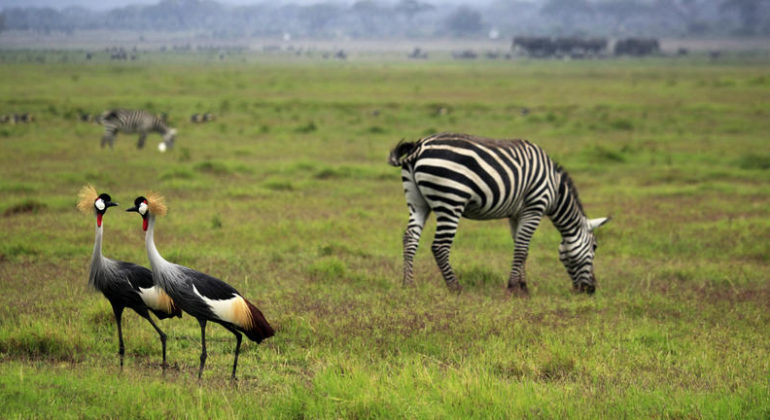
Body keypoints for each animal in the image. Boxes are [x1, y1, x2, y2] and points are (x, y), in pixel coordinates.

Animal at [388, 133, 608, 294]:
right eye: (595, 247)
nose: (591, 290)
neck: (554, 190)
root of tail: (419, 147)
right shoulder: (535, 207)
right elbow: (522, 249)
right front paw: (513, 288)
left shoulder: (517, 214)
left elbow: (521, 248)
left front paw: (522, 287)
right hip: (451, 199)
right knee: (440, 246)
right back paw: (456, 288)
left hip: (417, 202)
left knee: (410, 238)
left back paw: (408, 285)